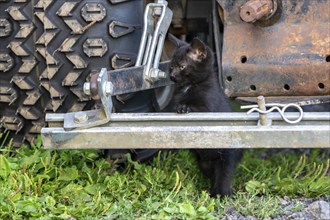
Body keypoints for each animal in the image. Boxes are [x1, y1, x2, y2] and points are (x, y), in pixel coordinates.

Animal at [168, 37, 242, 198]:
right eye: (171, 67)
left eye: (182, 66)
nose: (172, 76)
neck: (189, 86)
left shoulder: (209, 108)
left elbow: (196, 108)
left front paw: (184, 107)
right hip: (204, 163)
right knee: (211, 172)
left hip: (225, 157)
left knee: (223, 176)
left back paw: (220, 194)